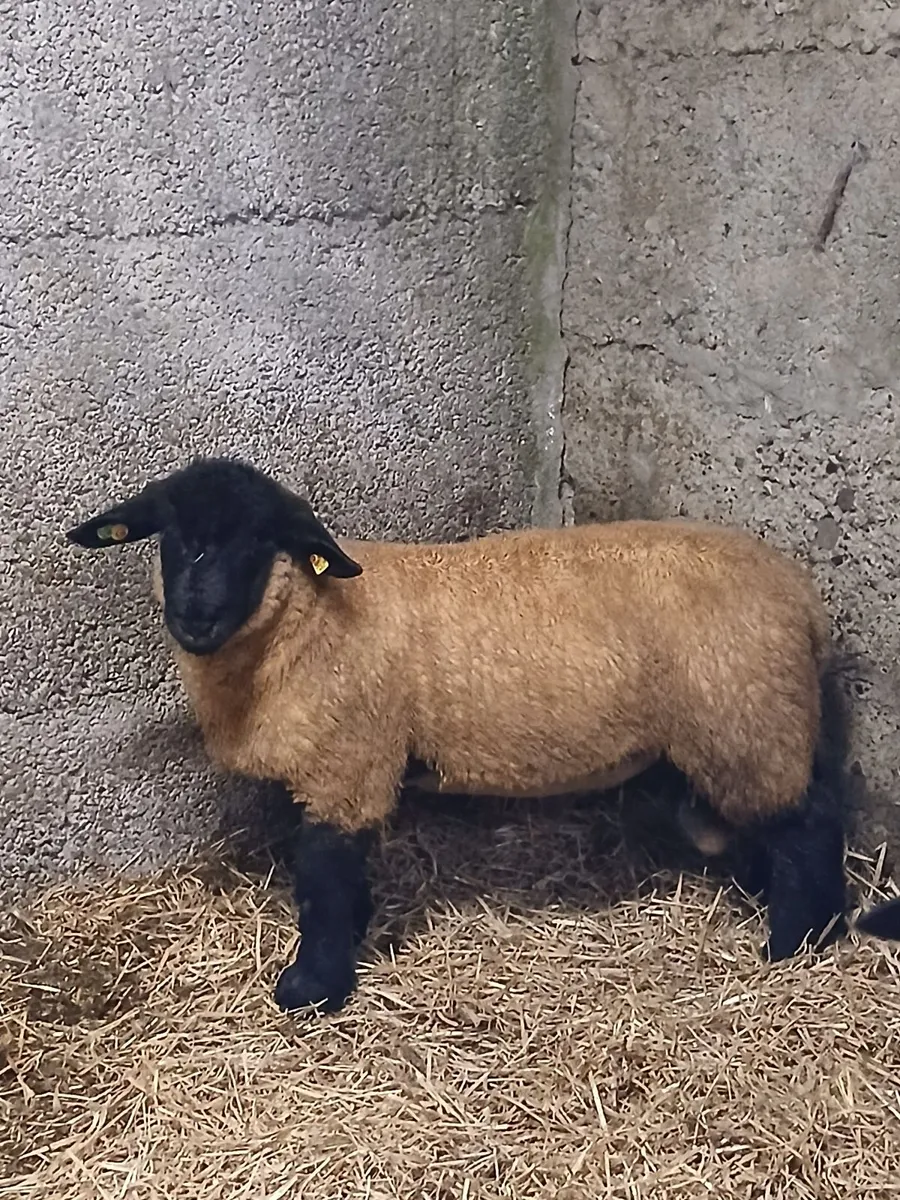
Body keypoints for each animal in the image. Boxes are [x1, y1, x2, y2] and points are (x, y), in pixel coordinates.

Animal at [67, 455, 849, 1015]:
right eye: (169, 537)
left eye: (259, 541)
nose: (193, 616)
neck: (309, 626)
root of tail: (804, 601)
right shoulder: (337, 767)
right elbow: (338, 874)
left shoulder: (347, 762)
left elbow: (323, 875)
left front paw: (313, 988)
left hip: (748, 721)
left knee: (807, 824)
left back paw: (796, 940)